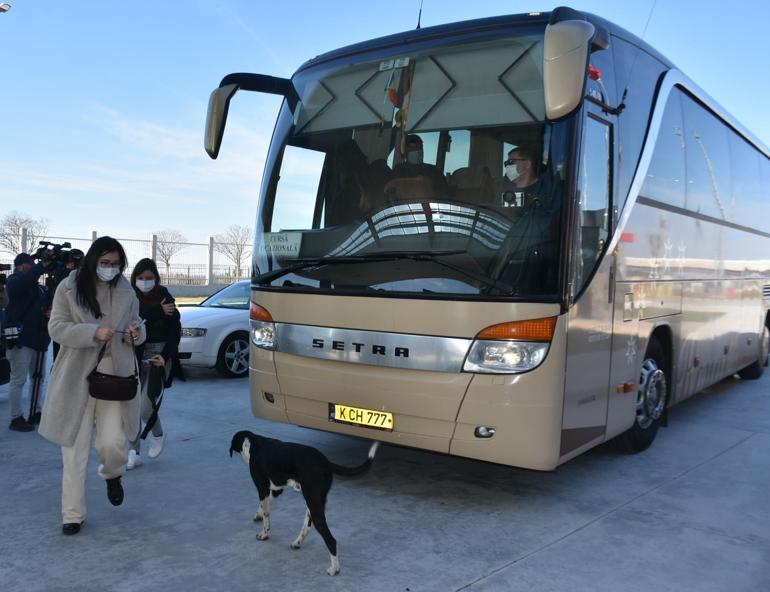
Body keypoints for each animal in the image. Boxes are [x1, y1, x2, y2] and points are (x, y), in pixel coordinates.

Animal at [231, 430, 380, 572]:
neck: (254, 443)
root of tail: (325, 462)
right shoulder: (276, 490)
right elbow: (265, 506)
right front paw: (258, 514)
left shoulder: (262, 488)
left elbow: (266, 515)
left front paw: (264, 534)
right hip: (312, 503)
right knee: (307, 527)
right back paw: (297, 543)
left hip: (313, 504)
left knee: (331, 540)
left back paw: (334, 569)